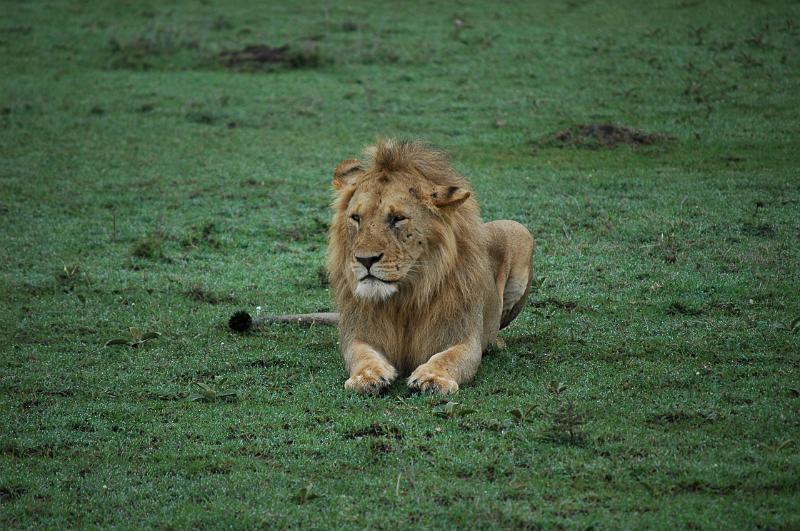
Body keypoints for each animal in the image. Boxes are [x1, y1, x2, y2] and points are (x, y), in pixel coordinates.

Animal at [229, 139, 534, 395]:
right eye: (356, 218)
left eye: (397, 218)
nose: (365, 260)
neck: (404, 298)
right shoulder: (358, 333)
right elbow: (361, 355)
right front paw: (367, 376)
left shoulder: (463, 338)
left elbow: (449, 357)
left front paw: (432, 378)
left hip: (519, 230)